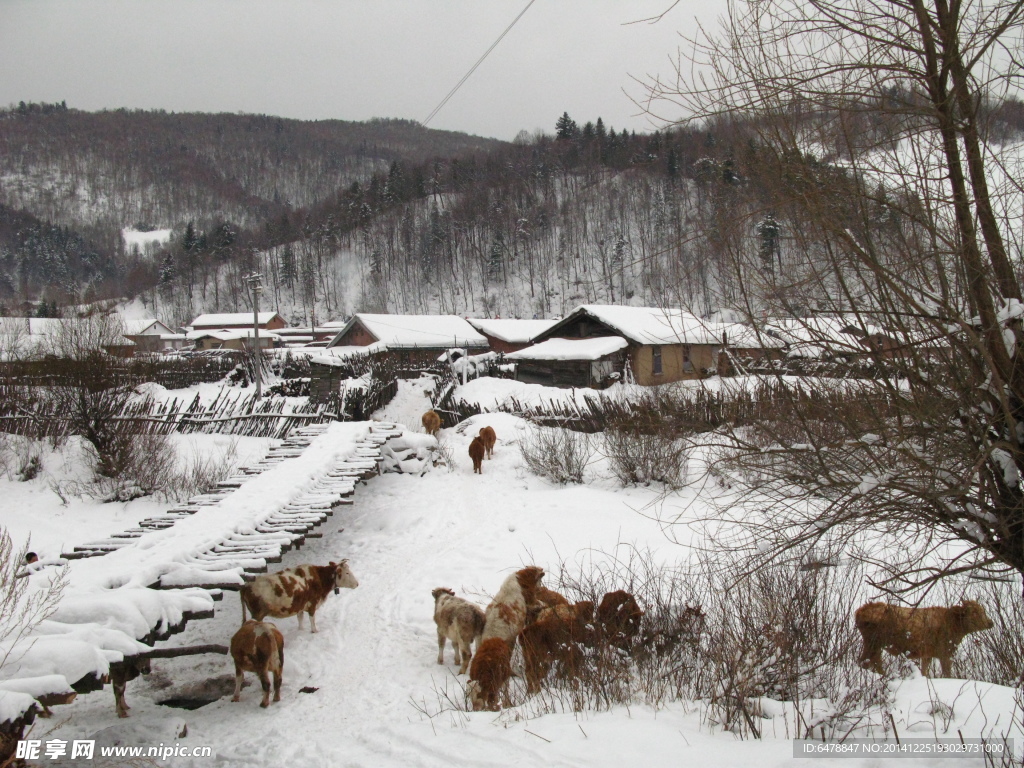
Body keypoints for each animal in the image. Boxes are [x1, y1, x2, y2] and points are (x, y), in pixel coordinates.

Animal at [851, 598, 995, 675]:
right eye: (974, 612)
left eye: (983, 610)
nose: (990, 622)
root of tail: (860, 611)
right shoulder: (944, 652)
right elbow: (947, 673)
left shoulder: (928, 653)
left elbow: (924, 671)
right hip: (873, 643)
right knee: (868, 662)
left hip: (874, 644)